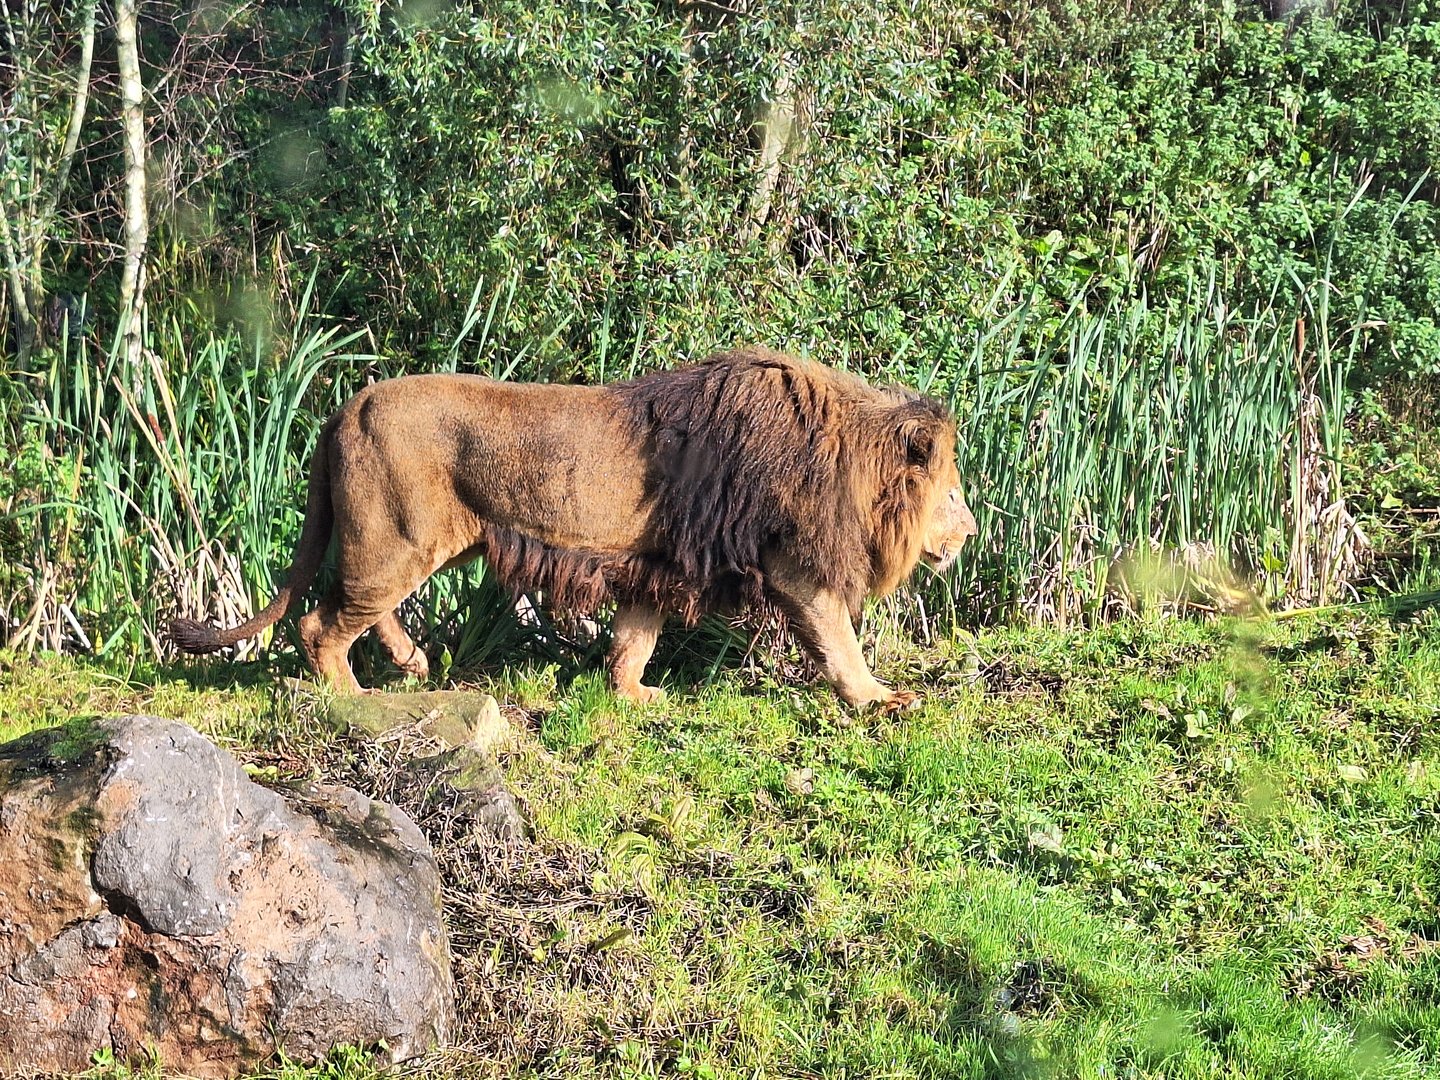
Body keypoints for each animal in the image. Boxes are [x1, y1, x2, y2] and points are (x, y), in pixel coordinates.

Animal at [169, 347, 977, 709]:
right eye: (952, 493)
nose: (970, 535)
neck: (849, 456)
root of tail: (345, 406)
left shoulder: (658, 561)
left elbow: (635, 638)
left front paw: (631, 693)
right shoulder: (795, 566)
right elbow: (839, 639)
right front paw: (878, 697)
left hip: (413, 542)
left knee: (360, 609)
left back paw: (413, 664)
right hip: (392, 538)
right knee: (319, 624)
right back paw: (354, 696)